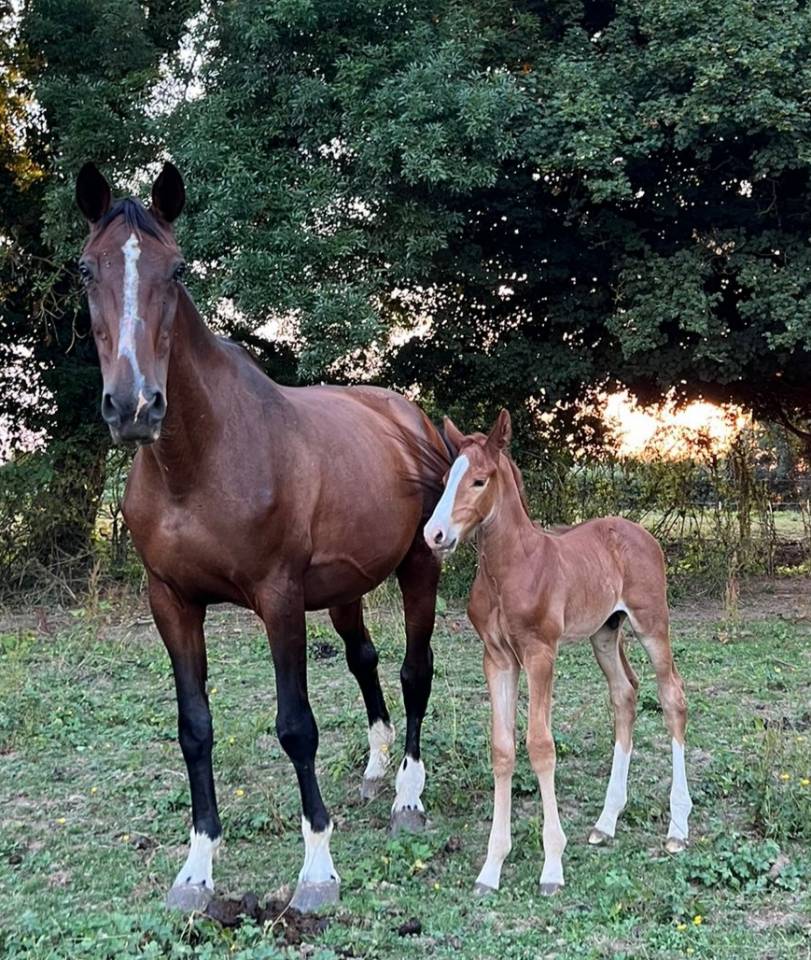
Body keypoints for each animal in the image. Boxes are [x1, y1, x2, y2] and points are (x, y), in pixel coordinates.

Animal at [75, 161, 450, 913]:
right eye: (84, 269)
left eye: (177, 269)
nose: (134, 406)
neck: (197, 462)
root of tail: (406, 416)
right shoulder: (171, 602)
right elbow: (194, 729)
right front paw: (195, 871)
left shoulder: (278, 599)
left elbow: (296, 727)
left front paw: (317, 871)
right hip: (344, 588)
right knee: (365, 659)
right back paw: (376, 769)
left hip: (417, 568)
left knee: (412, 670)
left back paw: (407, 796)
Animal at [423, 410, 692, 895]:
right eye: (446, 477)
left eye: (479, 480)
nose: (434, 535)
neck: (512, 568)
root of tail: (640, 533)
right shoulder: (497, 659)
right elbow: (503, 749)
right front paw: (491, 868)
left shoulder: (540, 654)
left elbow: (541, 746)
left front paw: (551, 866)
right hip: (605, 632)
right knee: (625, 696)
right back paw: (606, 822)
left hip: (652, 625)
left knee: (671, 699)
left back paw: (678, 829)